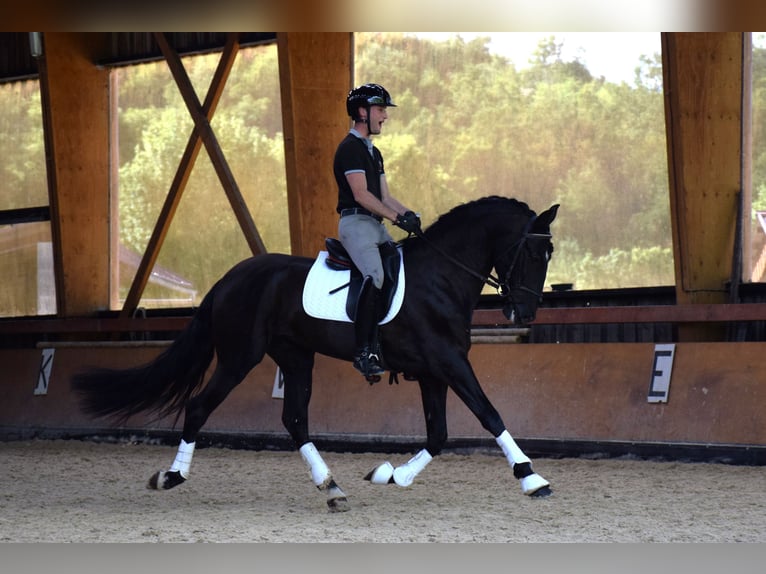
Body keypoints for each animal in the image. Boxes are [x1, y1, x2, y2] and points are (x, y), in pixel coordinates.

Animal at [72, 197, 560, 512]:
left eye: (548, 252)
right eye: (536, 251)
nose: (524, 312)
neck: (441, 276)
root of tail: (229, 278)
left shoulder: (433, 371)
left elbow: (439, 435)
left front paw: (391, 475)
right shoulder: (449, 363)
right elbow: (489, 414)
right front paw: (531, 477)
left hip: (295, 357)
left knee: (294, 420)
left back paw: (332, 487)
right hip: (239, 357)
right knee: (199, 407)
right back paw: (171, 476)